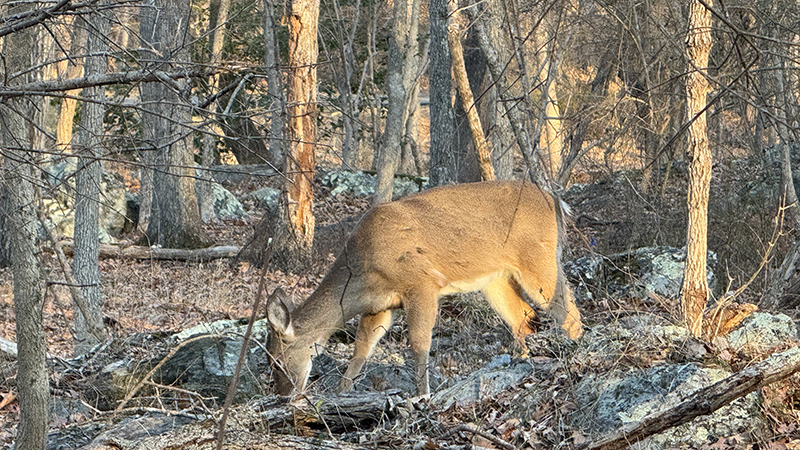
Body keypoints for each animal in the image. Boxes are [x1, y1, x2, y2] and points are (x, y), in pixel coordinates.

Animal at [266, 181, 583, 396]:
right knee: (523, 318)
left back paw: (575, 354)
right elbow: (362, 349)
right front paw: (342, 391)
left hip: (538, 257)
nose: (284, 396)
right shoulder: (380, 305)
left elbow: (419, 344)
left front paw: (422, 395)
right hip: (496, 279)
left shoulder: (421, 283)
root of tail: (554, 200)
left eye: (277, 361)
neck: (361, 271)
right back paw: (521, 362)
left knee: (568, 311)